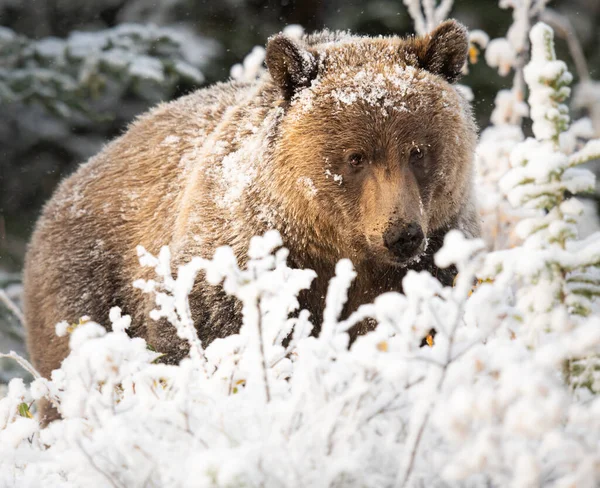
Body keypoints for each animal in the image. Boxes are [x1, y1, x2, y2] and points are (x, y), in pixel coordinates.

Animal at [23, 19, 480, 394]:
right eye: (356, 157)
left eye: (417, 151)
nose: (402, 234)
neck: (339, 251)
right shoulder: (231, 272)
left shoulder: (436, 262)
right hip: (87, 286)